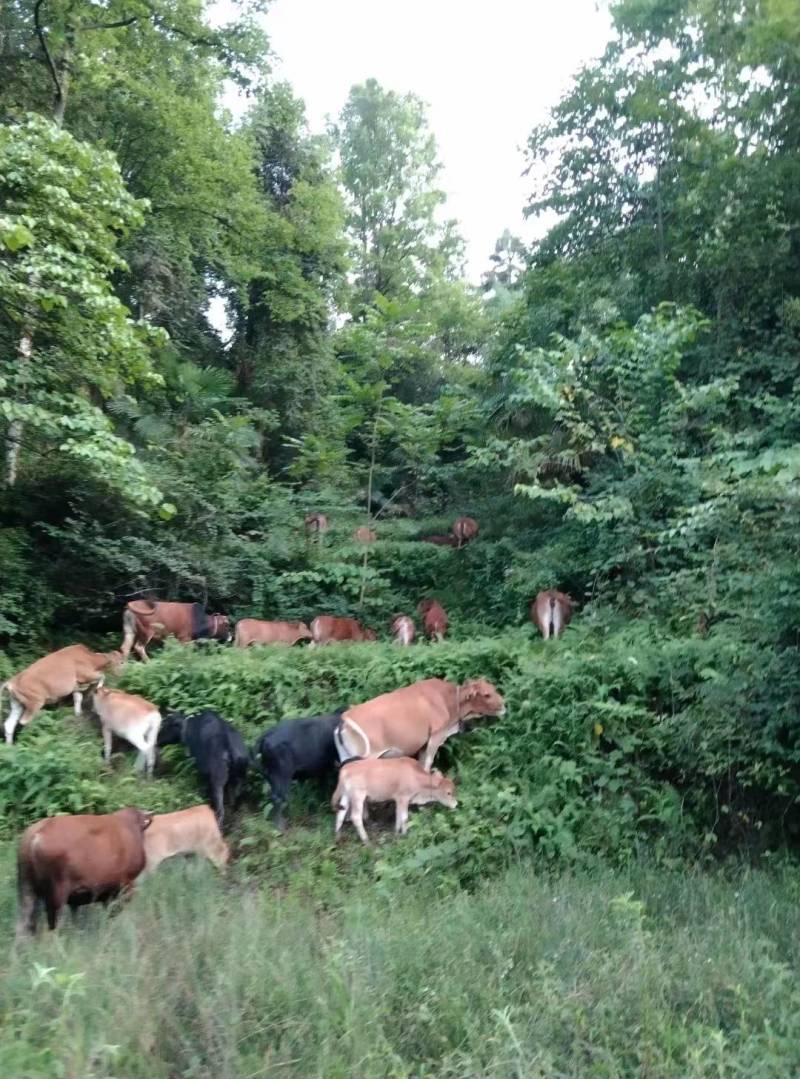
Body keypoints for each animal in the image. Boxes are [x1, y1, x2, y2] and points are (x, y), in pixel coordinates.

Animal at [15, 807, 151, 932]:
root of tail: (37, 833)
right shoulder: (126, 885)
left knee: (26, 922)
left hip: (28, 890)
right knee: (53, 922)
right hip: (57, 894)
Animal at [334, 677, 503, 772]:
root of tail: (345, 717)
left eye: (494, 688)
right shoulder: (436, 736)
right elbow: (427, 763)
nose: (504, 705)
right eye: (486, 694)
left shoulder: (424, 743)